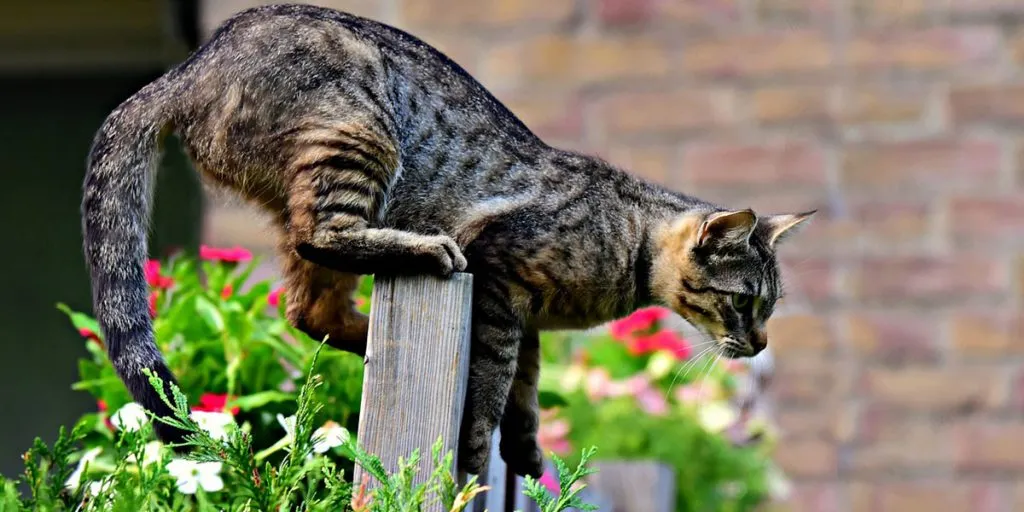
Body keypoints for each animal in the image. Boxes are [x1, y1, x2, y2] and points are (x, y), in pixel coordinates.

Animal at [79, 4, 811, 477]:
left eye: (768, 308)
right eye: (744, 303)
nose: (759, 344)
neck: (626, 244)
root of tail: (187, 68)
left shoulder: (527, 320)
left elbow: (525, 389)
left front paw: (526, 451)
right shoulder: (501, 282)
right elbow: (491, 386)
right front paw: (478, 450)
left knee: (308, 310)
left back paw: (370, 338)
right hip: (357, 136)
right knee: (325, 240)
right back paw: (425, 253)